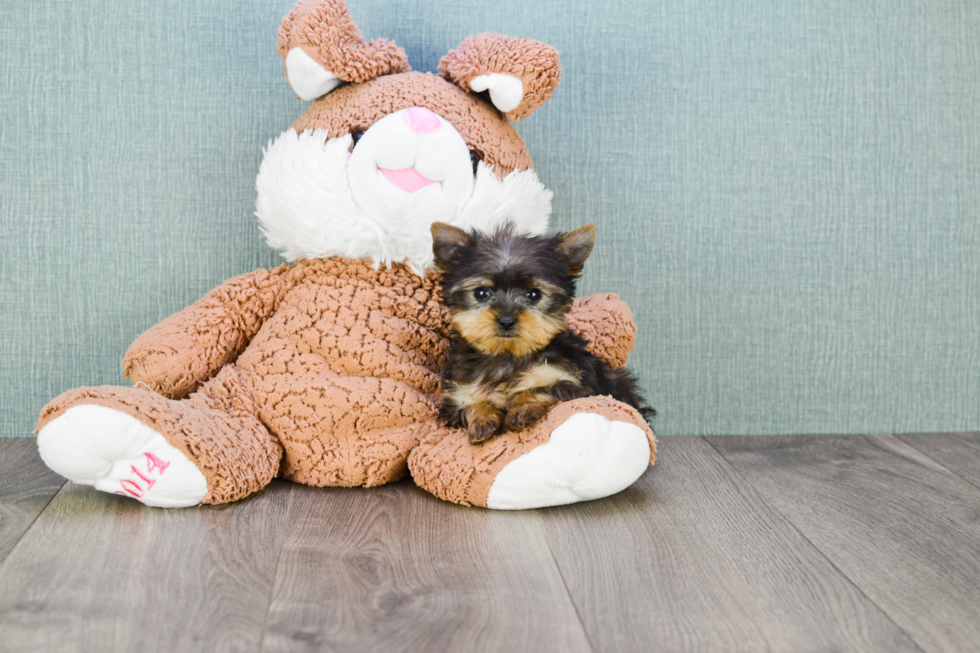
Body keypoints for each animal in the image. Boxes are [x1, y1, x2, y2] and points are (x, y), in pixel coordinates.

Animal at [432, 220, 656, 444]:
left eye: (534, 294)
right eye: (480, 293)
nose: (506, 320)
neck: (508, 356)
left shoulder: (576, 382)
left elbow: (540, 388)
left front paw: (521, 410)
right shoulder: (457, 394)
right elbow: (470, 403)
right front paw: (482, 420)